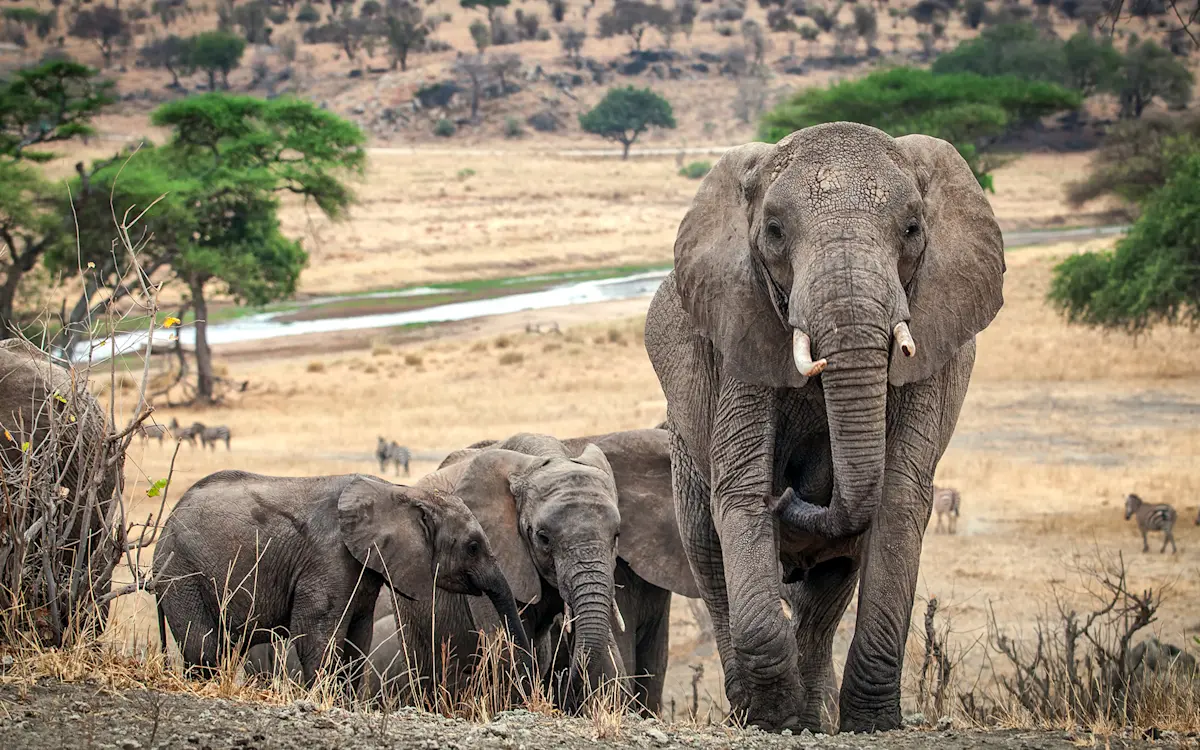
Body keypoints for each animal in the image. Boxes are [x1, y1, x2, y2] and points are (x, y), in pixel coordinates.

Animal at [152, 469, 531, 694]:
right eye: (473, 546)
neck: (399, 493)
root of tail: (166, 524)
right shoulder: (328, 558)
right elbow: (314, 635)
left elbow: (357, 640)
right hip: (181, 572)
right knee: (203, 647)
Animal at [369, 430, 697, 714]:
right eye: (543, 538)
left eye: (616, 535)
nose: (566, 682)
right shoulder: (489, 548)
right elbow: (506, 649)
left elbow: (607, 656)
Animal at [643, 122, 1005, 733]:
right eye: (773, 232)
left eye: (912, 229)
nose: (792, 495)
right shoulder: (742, 328)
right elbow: (740, 492)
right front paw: (775, 721)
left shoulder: (932, 342)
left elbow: (899, 498)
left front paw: (873, 724)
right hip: (683, 442)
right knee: (708, 557)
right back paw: (753, 712)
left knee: (826, 591)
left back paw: (815, 716)